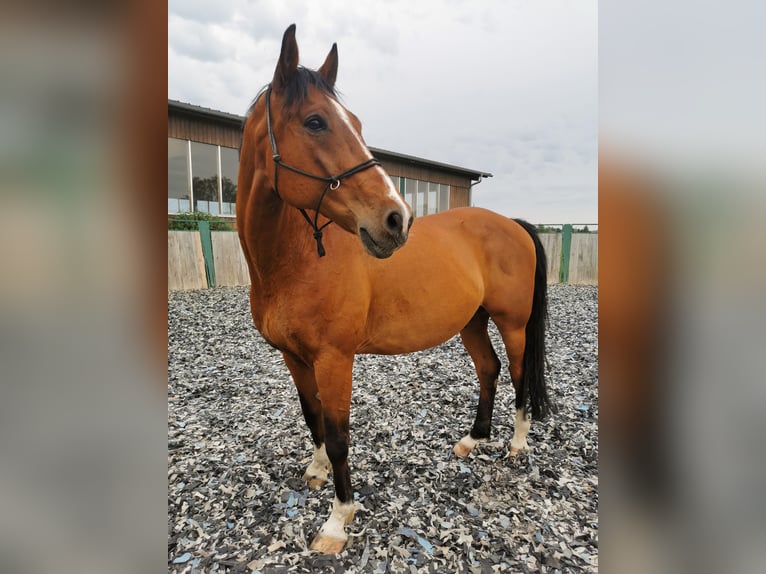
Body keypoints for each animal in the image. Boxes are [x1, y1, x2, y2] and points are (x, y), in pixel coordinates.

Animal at [238, 24, 552, 556]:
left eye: (356, 123)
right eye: (315, 121)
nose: (396, 219)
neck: (294, 259)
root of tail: (511, 223)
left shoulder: (334, 359)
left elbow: (339, 435)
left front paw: (337, 522)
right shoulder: (294, 356)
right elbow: (312, 416)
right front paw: (316, 472)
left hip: (513, 324)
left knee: (516, 376)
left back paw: (516, 445)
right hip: (472, 321)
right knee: (488, 370)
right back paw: (474, 439)